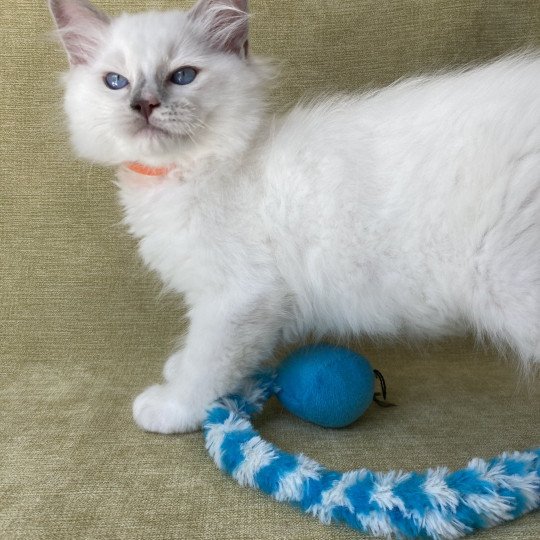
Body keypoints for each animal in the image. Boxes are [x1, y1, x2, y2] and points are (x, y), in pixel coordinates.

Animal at [48, 0, 536, 434]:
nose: (144, 104)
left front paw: (173, 407)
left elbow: (208, 362)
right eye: (116, 82)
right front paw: (178, 366)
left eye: (182, 76)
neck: (189, 171)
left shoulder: (239, 298)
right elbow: (197, 349)